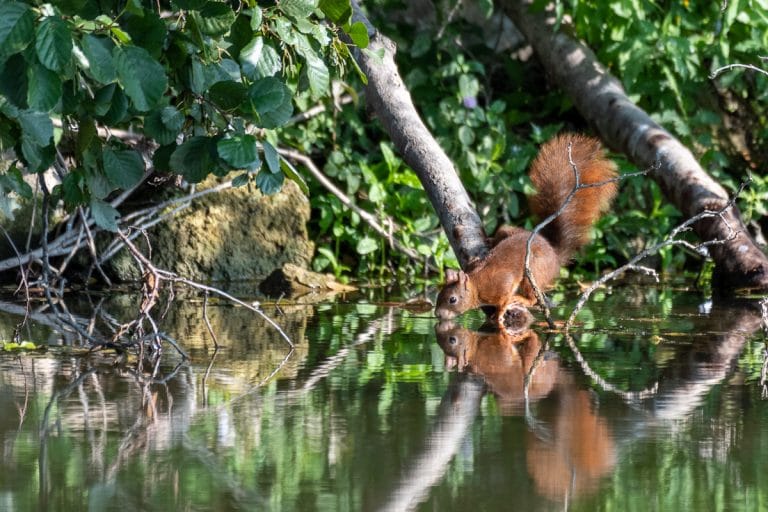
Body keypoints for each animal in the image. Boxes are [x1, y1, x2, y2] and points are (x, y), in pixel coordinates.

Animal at [438, 133, 616, 324]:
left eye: (452, 299)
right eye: (439, 294)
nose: (437, 314)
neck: (477, 284)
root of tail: (554, 255)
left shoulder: (502, 283)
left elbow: (504, 296)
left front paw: (500, 312)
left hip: (533, 271)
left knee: (532, 298)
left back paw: (521, 299)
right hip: (509, 231)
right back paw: (492, 240)